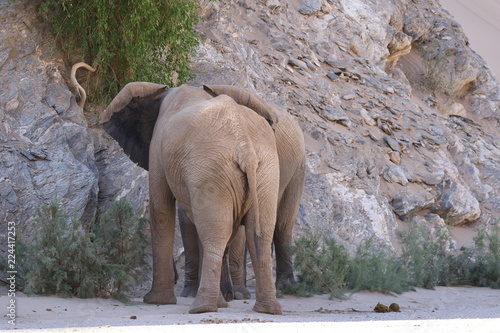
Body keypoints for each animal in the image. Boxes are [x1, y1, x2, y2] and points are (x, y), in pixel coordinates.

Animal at [99, 82, 284, 314]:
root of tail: (246, 149)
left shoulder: (158, 147)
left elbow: (161, 209)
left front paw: (156, 300)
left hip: (213, 170)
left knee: (215, 233)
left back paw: (201, 308)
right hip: (266, 170)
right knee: (258, 234)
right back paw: (266, 309)